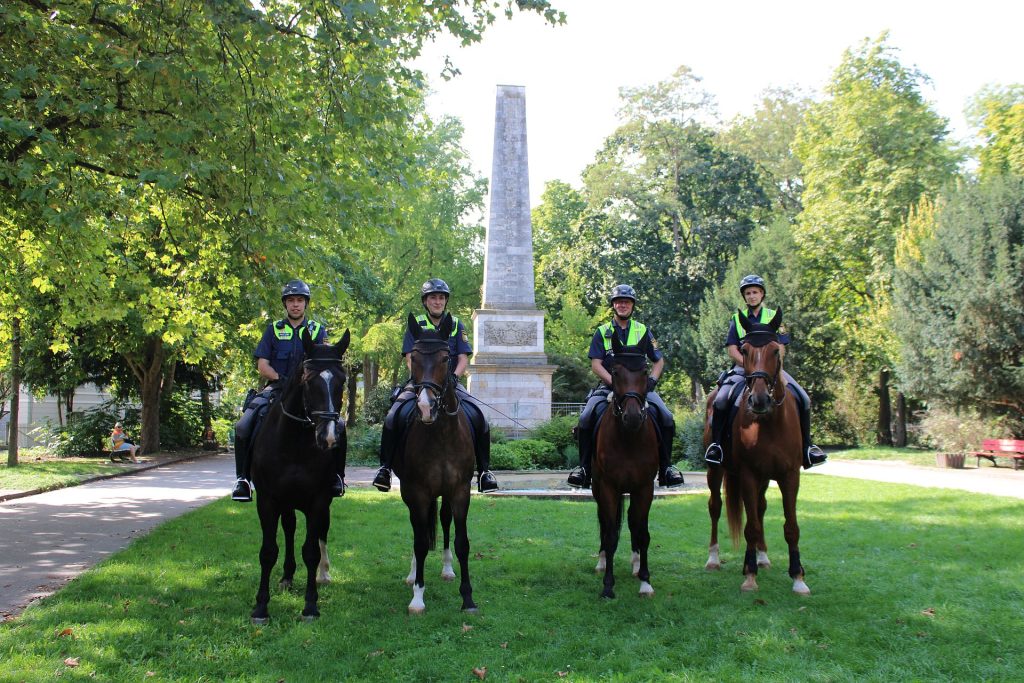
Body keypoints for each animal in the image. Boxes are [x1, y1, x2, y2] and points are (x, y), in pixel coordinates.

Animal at [248, 331, 352, 626]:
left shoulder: (318, 500)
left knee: (318, 535)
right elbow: (268, 551)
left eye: (342, 380)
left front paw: (310, 605)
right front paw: (261, 607)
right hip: (286, 503)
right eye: (308, 379)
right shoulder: (268, 501)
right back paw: (286, 576)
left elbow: (311, 551)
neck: (293, 442)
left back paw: (323, 573)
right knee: (290, 529)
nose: (328, 437)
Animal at [393, 313, 477, 618]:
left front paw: (468, 597)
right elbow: (419, 542)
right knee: (417, 530)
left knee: (443, 520)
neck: (440, 433)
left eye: (445, 358)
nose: (425, 406)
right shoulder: (417, 492)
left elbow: (462, 542)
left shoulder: (460, 492)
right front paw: (418, 597)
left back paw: (447, 569)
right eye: (415, 358)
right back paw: (412, 575)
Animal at [589, 335, 659, 598]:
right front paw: (608, 585)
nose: (633, 417)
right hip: (598, 489)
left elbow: (643, 532)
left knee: (632, 521)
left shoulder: (645, 487)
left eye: (645, 371)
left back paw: (637, 564)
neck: (628, 438)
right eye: (615, 372)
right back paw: (601, 562)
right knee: (604, 522)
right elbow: (609, 534)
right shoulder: (609, 487)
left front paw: (646, 581)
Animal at [700, 309, 811, 593]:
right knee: (715, 507)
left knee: (760, 509)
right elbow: (749, 527)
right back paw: (713, 559)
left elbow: (791, 526)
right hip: (715, 470)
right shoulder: (748, 474)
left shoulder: (790, 475)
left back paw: (762, 556)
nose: (759, 400)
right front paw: (749, 576)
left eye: (774, 350)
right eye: (745, 349)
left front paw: (798, 577)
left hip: (765, 478)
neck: (769, 422)